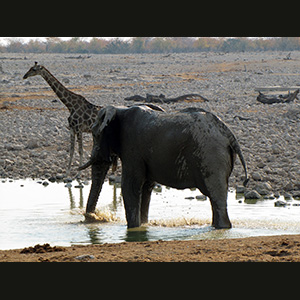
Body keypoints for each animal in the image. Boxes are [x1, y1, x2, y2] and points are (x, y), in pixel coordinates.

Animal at [79, 104, 248, 229]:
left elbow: (130, 187)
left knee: (215, 195)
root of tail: (228, 133)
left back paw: (222, 227)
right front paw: (143, 226)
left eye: (94, 134)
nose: (91, 218)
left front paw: (133, 228)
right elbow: (146, 188)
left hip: (211, 156)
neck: (120, 109)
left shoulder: (132, 148)